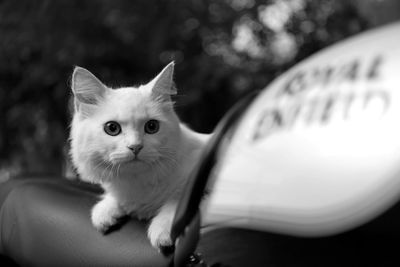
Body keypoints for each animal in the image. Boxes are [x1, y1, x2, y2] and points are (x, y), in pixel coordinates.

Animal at [69, 62, 209, 251]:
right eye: (112, 128)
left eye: (152, 126)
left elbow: (178, 201)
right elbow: (115, 200)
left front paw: (162, 231)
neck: (138, 181)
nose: (135, 147)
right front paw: (104, 212)